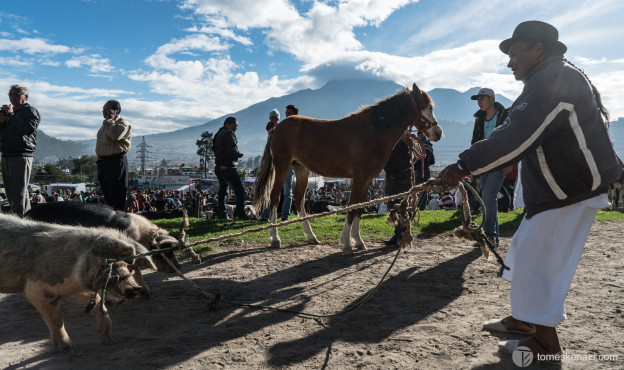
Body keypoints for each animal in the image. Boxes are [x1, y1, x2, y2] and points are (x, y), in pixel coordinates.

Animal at [251, 83, 442, 254]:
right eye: (429, 107)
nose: (438, 133)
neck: (373, 131)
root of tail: (279, 126)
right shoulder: (359, 176)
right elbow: (352, 206)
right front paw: (347, 243)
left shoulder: (368, 178)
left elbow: (359, 207)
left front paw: (358, 240)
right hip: (282, 166)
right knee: (275, 197)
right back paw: (275, 238)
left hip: (302, 170)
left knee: (298, 199)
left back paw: (311, 236)